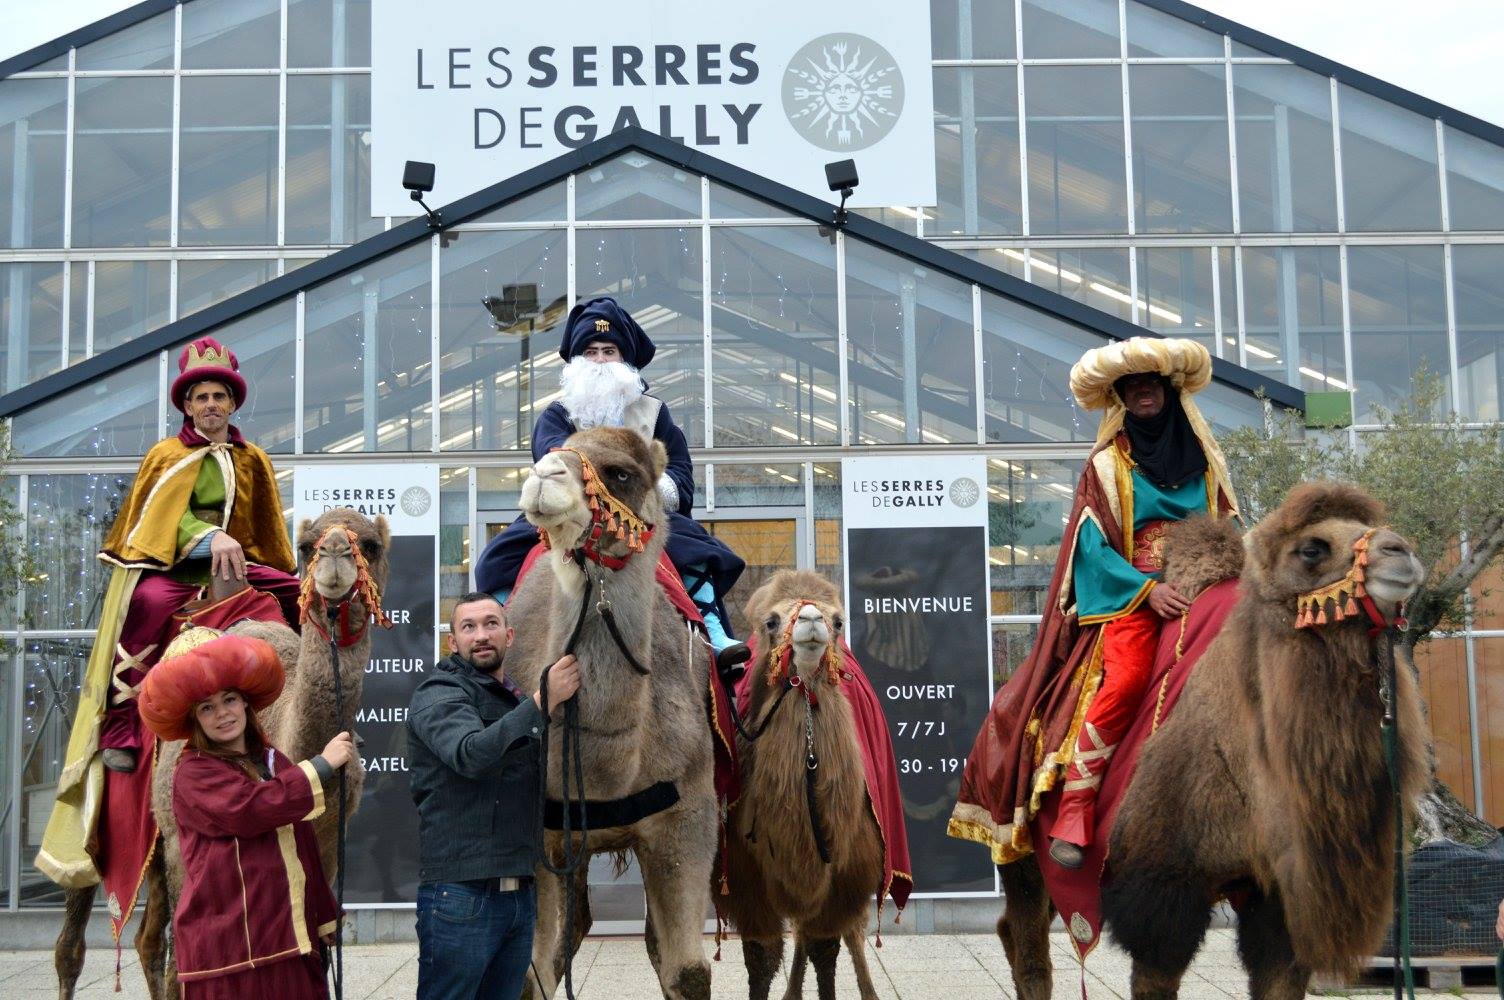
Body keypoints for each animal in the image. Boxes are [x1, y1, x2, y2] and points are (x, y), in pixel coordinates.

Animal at [55, 508, 391, 998]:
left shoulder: (329, 849)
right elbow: (185, 968)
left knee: (146, 940)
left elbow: (322, 950)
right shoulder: (184, 842)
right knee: (74, 941)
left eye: (370, 545)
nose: (333, 553)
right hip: (102, 814)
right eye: (305, 546)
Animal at [502, 427, 718, 998]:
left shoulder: (688, 817)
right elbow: (531, 973)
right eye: (548, 448)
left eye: (621, 472)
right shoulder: (537, 837)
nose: (545, 475)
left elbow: (688, 971)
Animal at [721, 568, 884, 998]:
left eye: (839, 621)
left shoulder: (845, 877)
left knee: (846, 934)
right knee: (801, 933)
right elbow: (761, 957)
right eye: (770, 621)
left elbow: (826, 948)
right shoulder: (745, 880)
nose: (811, 620)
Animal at [992, 481, 1425, 992]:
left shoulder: (1279, 896)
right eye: (1312, 549)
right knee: (1029, 940)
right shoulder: (1163, 886)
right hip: (1017, 849)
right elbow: (1155, 976)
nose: (1401, 551)